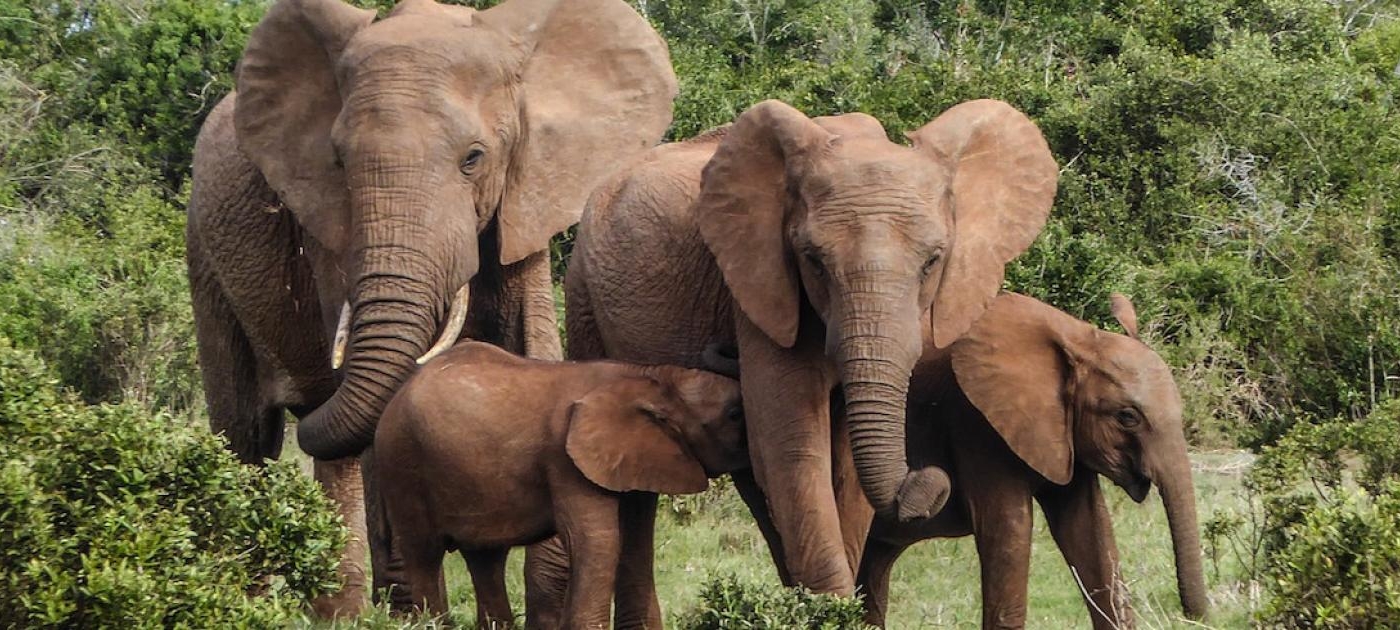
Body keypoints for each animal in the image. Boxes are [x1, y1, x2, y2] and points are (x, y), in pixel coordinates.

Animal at [184, 0, 676, 613]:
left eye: (474, 159)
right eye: (338, 163)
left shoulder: (525, 197)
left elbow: (532, 345)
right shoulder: (327, 228)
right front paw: (411, 609)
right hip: (204, 256)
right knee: (246, 436)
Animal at [375, 341, 747, 628]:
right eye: (734, 414)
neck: (651, 377)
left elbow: (636, 543)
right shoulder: (565, 458)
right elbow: (597, 541)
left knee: (485, 559)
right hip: (400, 462)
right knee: (424, 554)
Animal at [560, 98, 1059, 608]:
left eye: (933, 262)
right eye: (814, 261)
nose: (930, 479)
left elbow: (843, 468)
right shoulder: (761, 288)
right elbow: (794, 445)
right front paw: (830, 611)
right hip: (582, 296)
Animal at [851, 293, 1210, 628]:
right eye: (1127, 417)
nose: (1192, 615)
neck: (1078, 337)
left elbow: (1089, 530)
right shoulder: (975, 422)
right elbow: (1010, 532)